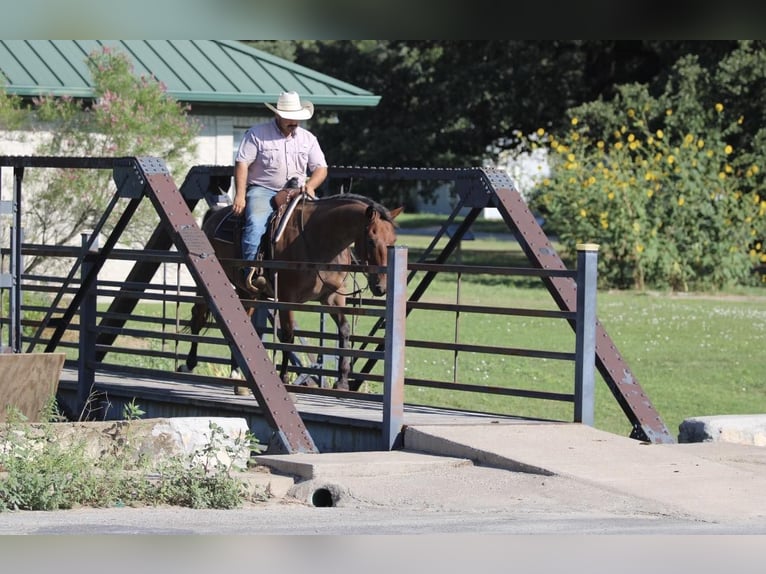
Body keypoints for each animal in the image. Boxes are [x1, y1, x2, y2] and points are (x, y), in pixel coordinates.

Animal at [179, 190, 403, 391]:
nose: (381, 286)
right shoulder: (287, 298)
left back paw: (236, 372)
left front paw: (342, 381)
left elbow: (344, 331)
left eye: (393, 242)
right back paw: (189, 364)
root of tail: (214, 214)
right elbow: (288, 335)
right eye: (372, 240)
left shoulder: (332, 297)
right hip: (207, 283)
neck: (317, 239)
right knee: (197, 316)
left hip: (247, 291)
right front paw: (284, 377)